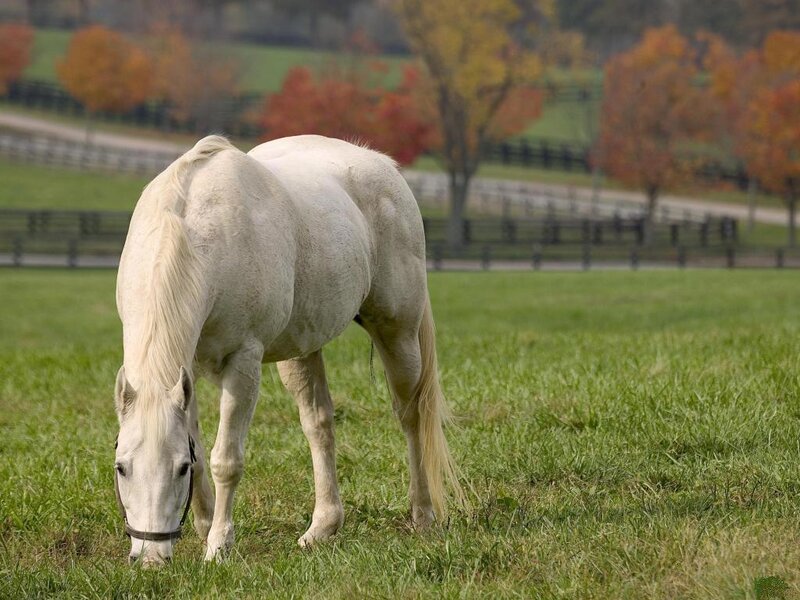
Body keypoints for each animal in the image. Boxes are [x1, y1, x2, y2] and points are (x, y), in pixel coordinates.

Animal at [113, 134, 462, 565]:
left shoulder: (243, 364)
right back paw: (322, 527)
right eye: (121, 467)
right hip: (303, 350)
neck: (196, 234)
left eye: (178, 469)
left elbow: (225, 459)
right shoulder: (185, 370)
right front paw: (204, 525)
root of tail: (384, 165)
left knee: (411, 416)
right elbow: (201, 447)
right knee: (319, 424)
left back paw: (422, 514)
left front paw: (218, 545)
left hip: (398, 333)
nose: (150, 557)